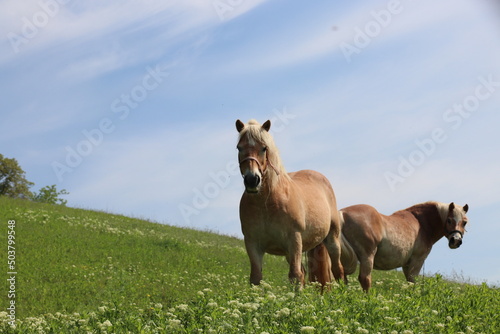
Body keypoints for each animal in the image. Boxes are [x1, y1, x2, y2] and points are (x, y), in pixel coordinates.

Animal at [235, 120, 344, 288]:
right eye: (239, 148)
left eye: (264, 148)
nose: (252, 180)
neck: (266, 204)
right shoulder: (253, 243)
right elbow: (256, 277)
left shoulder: (293, 240)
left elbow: (295, 275)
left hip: (332, 239)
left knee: (338, 269)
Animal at [340, 201, 468, 292]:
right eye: (449, 220)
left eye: (465, 222)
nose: (456, 240)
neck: (421, 223)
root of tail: (342, 214)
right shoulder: (417, 261)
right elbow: (412, 281)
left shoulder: (406, 264)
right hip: (367, 257)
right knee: (364, 279)